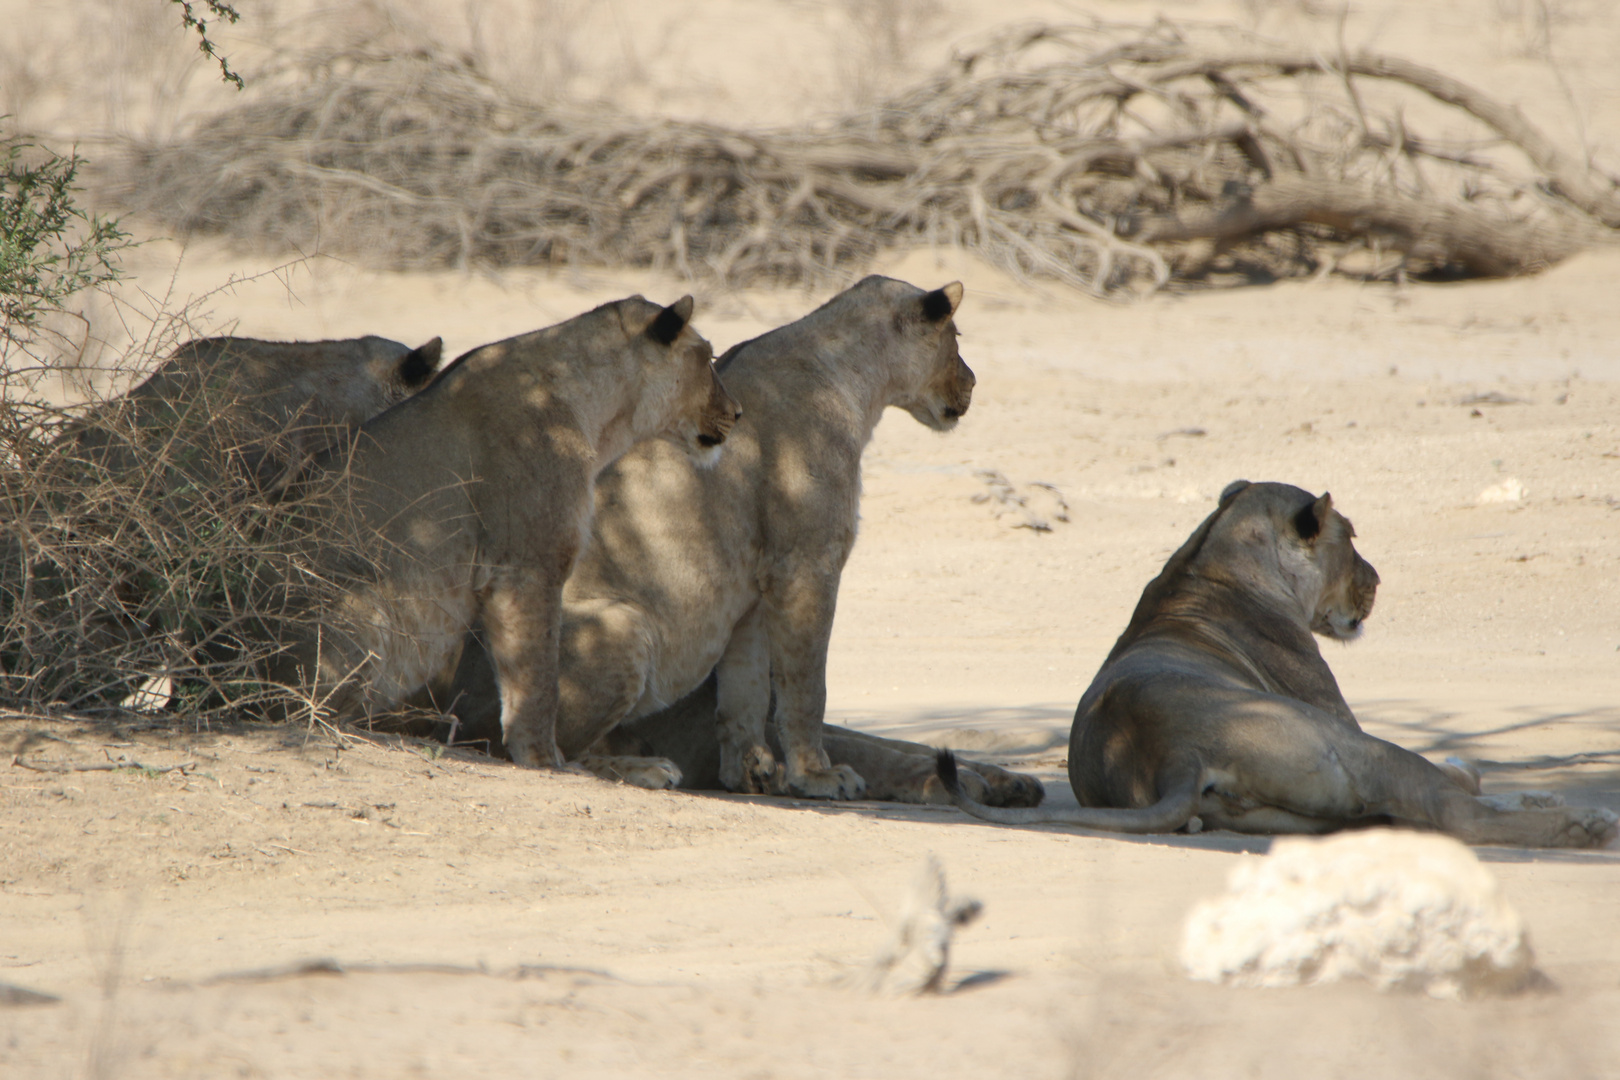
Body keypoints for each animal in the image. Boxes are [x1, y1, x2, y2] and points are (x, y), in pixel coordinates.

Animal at [275, 296, 738, 767]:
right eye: (709, 358)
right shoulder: (530, 564)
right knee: (309, 711)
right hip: (373, 604)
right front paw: (542, 758)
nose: (737, 413)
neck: (603, 411)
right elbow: (540, 675)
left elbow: (517, 674)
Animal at [437, 276, 1036, 803]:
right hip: (624, 625)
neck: (856, 379)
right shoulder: (807, 564)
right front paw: (817, 776)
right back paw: (645, 769)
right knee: (542, 749)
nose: (973, 383)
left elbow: (745, 695)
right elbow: (806, 685)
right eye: (956, 339)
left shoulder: (753, 590)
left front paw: (752, 772)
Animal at [939, 482, 1620, 854]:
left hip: (1310, 811)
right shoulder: (1341, 715)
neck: (1208, 561)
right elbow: (1461, 781)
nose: (1377, 580)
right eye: (1351, 536)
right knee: (1457, 813)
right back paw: (1584, 824)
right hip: (1355, 748)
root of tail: (1173, 756)